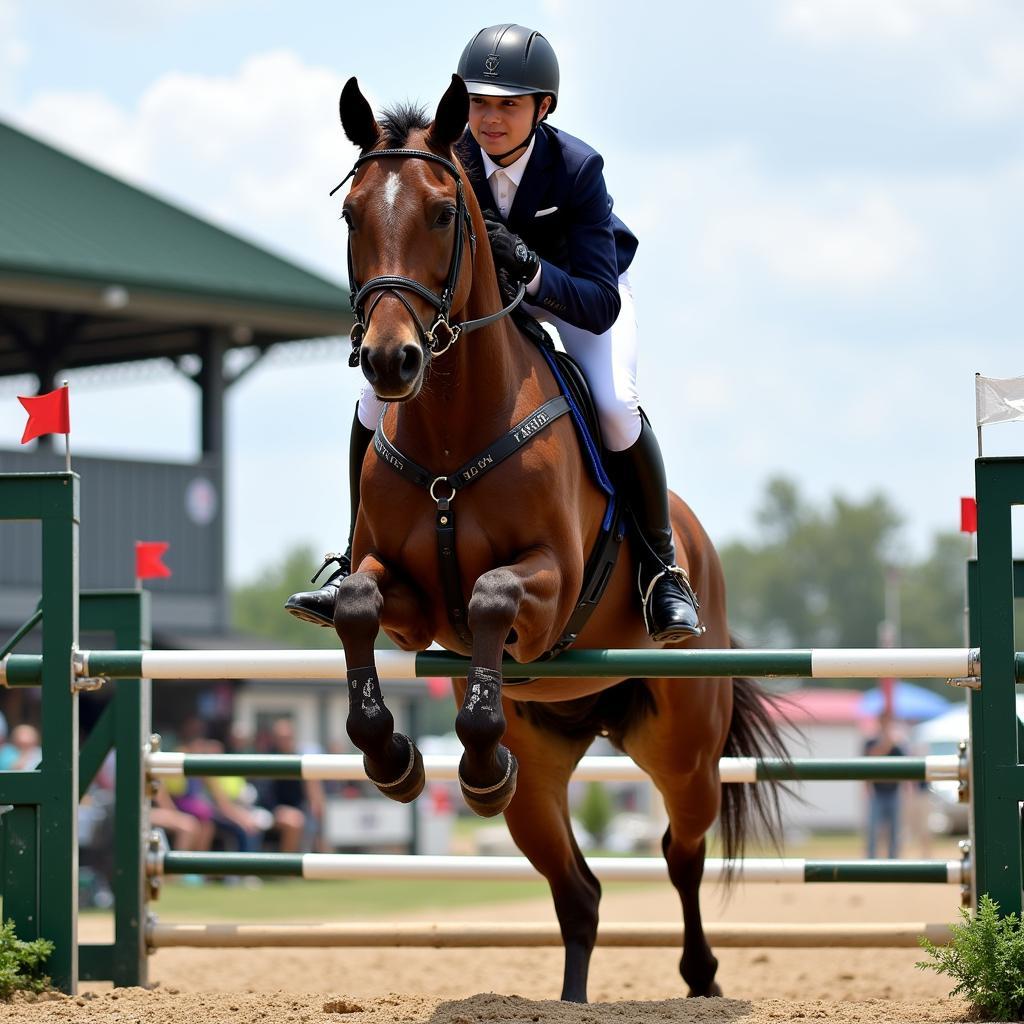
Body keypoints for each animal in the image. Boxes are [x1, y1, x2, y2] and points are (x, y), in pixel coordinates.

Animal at [331, 75, 786, 1003]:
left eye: (443, 214)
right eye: (353, 215)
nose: (391, 363)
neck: (451, 428)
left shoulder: (543, 594)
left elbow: (492, 596)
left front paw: (461, 756)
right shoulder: (407, 604)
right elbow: (359, 601)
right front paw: (395, 758)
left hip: (682, 748)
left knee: (681, 851)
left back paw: (701, 976)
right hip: (543, 765)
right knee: (579, 889)